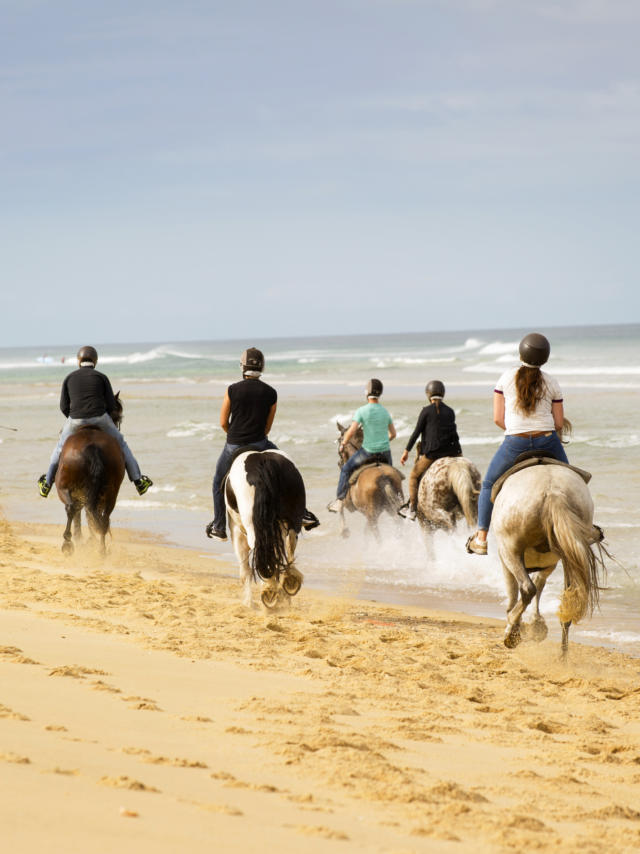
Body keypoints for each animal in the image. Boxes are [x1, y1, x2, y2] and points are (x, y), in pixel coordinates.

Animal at [55, 394, 125, 556]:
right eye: (118, 416)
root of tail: (92, 447)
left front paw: (80, 538)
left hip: (65, 487)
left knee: (73, 509)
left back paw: (69, 543)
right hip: (110, 492)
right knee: (102, 518)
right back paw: (100, 550)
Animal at [224, 448, 306, 608]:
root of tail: (262, 462)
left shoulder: (236, 532)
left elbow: (245, 570)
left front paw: (249, 602)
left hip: (254, 527)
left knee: (265, 550)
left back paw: (271, 589)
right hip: (291, 520)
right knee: (288, 545)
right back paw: (287, 583)